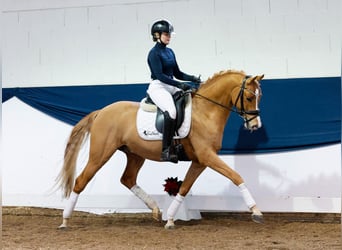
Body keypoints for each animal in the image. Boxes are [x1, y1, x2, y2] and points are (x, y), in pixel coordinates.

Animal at [56, 69, 264, 229]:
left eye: (259, 97)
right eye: (249, 97)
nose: (255, 126)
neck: (205, 112)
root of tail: (101, 112)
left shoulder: (200, 161)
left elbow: (184, 188)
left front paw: (170, 219)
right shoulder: (207, 156)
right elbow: (236, 176)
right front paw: (256, 211)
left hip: (135, 154)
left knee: (127, 179)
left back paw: (155, 209)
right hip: (100, 154)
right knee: (81, 180)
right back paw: (65, 221)